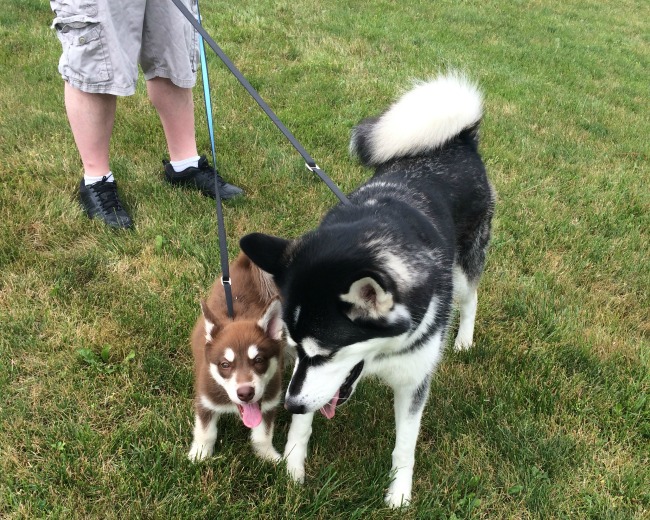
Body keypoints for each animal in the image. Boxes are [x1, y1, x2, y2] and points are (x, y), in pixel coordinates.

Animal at [187, 254, 284, 462]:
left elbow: (263, 436)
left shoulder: (269, 403)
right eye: (225, 364)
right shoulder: (205, 400)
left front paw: (268, 457)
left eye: (259, 360)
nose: (245, 393)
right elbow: (205, 432)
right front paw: (199, 454)